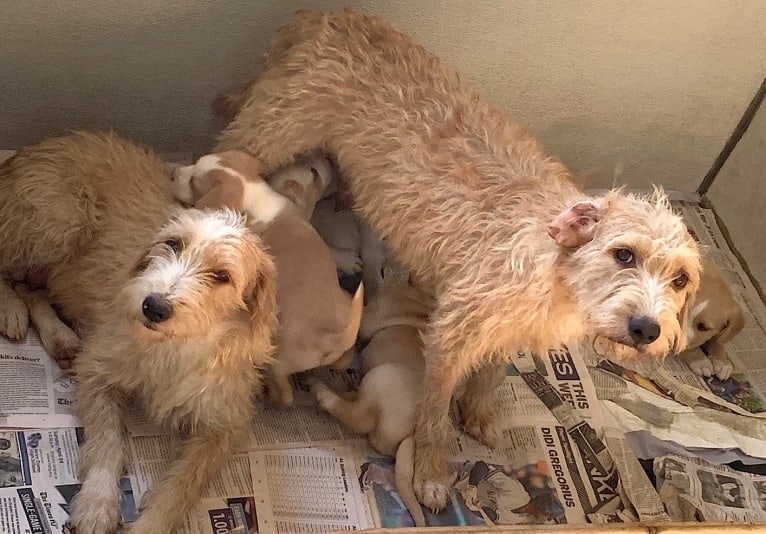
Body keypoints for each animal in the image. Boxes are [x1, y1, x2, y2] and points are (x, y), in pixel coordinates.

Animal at [0, 131, 280, 534]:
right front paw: (98, 503)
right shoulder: (98, 369)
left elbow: (183, 484)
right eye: (173, 243)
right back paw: (12, 310)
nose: (154, 306)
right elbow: (107, 441)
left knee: (33, 289)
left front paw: (151, 521)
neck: (175, 345)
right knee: (10, 273)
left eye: (222, 276)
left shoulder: (223, 426)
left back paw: (60, 337)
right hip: (56, 222)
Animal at [172, 153, 364, 408]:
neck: (252, 194)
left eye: (194, 182)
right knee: (343, 360)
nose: (173, 173)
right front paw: (348, 259)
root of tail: (333, 338)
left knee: (285, 395)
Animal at [213, 7, 704, 510]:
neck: (548, 261)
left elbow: (490, 373)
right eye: (624, 254)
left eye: (681, 279)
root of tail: (329, 13)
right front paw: (432, 470)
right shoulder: (450, 338)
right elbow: (433, 410)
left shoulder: (506, 330)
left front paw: (480, 412)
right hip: (269, 130)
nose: (647, 329)